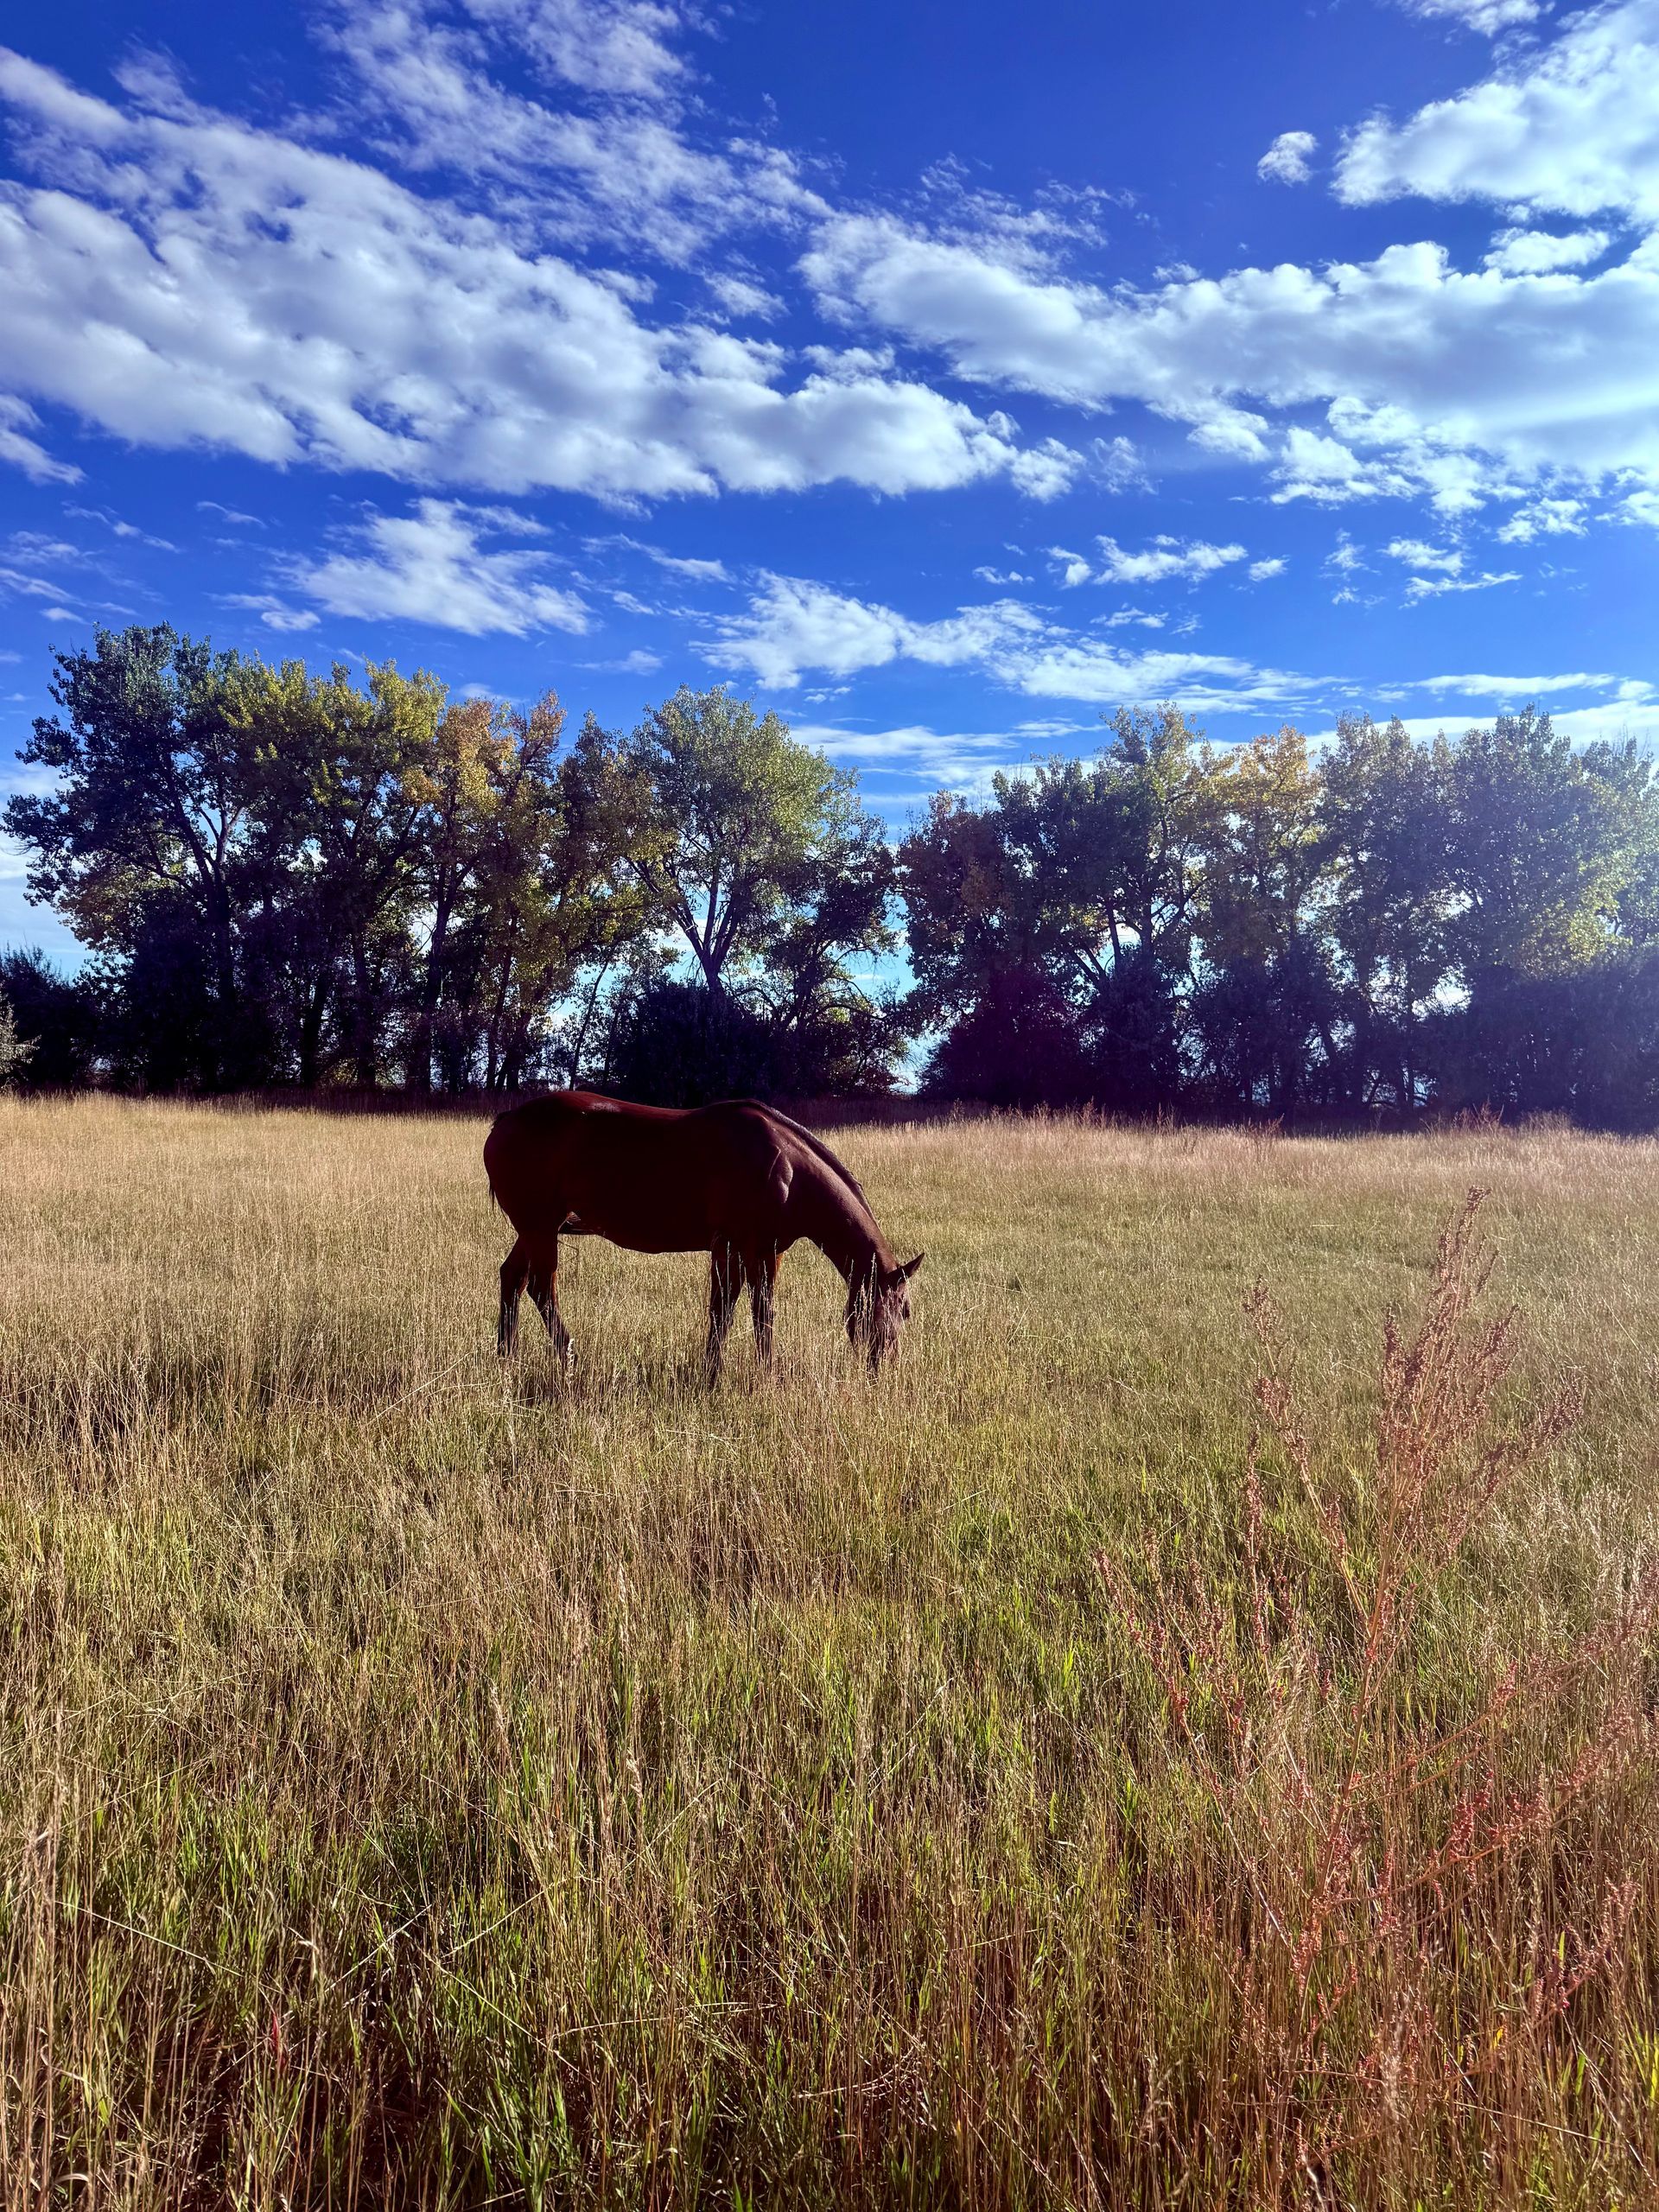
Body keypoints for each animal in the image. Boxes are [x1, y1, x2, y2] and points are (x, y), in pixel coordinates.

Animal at [484, 1091, 924, 1379]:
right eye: (902, 1310)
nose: (886, 1367)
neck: (786, 1168)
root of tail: (507, 1119)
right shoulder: (741, 1247)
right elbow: (743, 1311)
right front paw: (745, 1374)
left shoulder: (757, 1251)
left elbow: (740, 1310)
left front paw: (729, 1370)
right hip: (541, 1228)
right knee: (541, 1287)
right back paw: (568, 1358)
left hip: (536, 1229)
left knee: (513, 1278)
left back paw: (506, 1357)